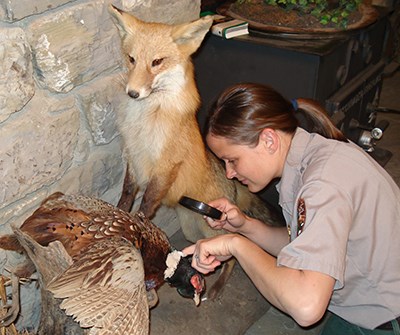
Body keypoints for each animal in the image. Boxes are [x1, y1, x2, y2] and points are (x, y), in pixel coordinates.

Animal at [107, 5, 282, 244]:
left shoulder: (166, 164)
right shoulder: (133, 155)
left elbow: (147, 201)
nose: (132, 93)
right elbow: (126, 194)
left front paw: (138, 224)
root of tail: (233, 182)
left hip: (214, 229)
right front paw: (117, 216)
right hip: (191, 230)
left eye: (157, 62)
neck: (145, 118)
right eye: (131, 59)